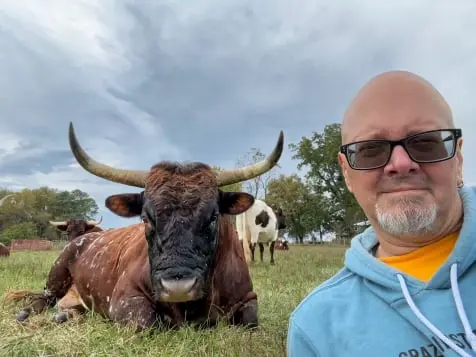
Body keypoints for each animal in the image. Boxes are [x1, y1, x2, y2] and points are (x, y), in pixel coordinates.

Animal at [6, 122, 282, 330]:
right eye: (145, 218)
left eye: (214, 216)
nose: (178, 287)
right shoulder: (125, 300)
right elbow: (146, 322)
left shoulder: (248, 299)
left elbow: (250, 321)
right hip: (57, 273)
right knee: (44, 297)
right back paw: (26, 312)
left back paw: (67, 315)